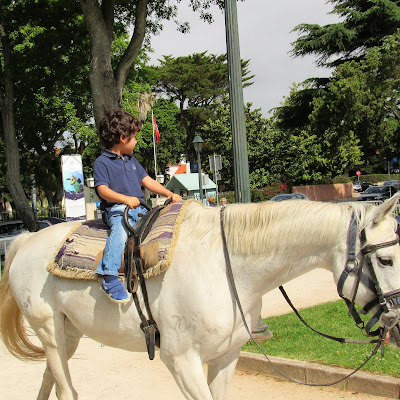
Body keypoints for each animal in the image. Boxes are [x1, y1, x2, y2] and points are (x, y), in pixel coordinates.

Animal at [1, 195, 400, 400]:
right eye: (385, 259)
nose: (395, 321)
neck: (226, 265)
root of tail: (25, 240)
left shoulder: (226, 357)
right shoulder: (182, 362)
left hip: (69, 333)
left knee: (49, 380)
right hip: (49, 330)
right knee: (65, 389)